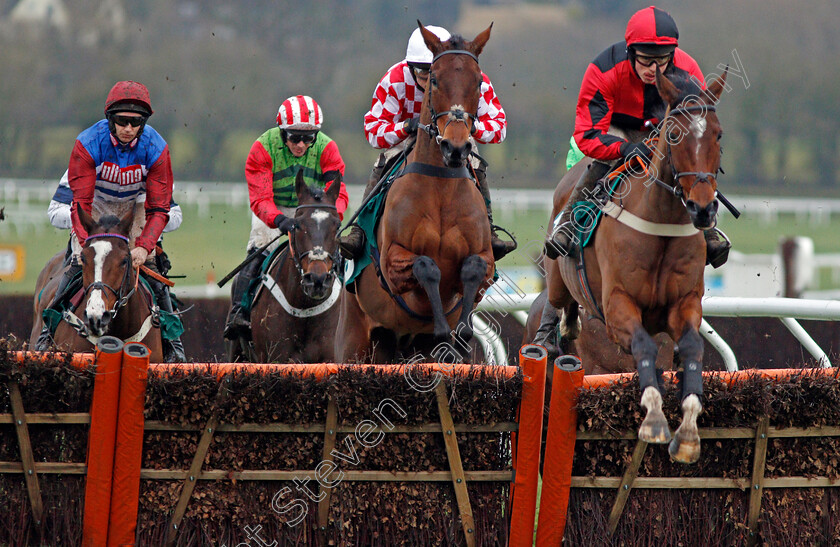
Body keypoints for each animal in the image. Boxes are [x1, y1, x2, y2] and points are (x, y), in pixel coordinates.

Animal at [334, 23, 496, 364]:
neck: (441, 189)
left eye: (477, 81)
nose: (455, 147)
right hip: (353, 342)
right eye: (434, 78)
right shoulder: (392, 262)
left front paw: (462, 332)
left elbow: (473, 268)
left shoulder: (485, 260)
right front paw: (442, 328)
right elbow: (426, 266)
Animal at [544, 67, 728, 462]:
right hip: (557, 279)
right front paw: (655, 420)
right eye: (673, 135)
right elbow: (644, 346)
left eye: (718, 134)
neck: (661, 224)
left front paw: (688, 432)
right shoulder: (618, 308)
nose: (703, 209)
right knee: (558, 301)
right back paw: (561, 327)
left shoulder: (685, 303)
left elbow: (693, 348)